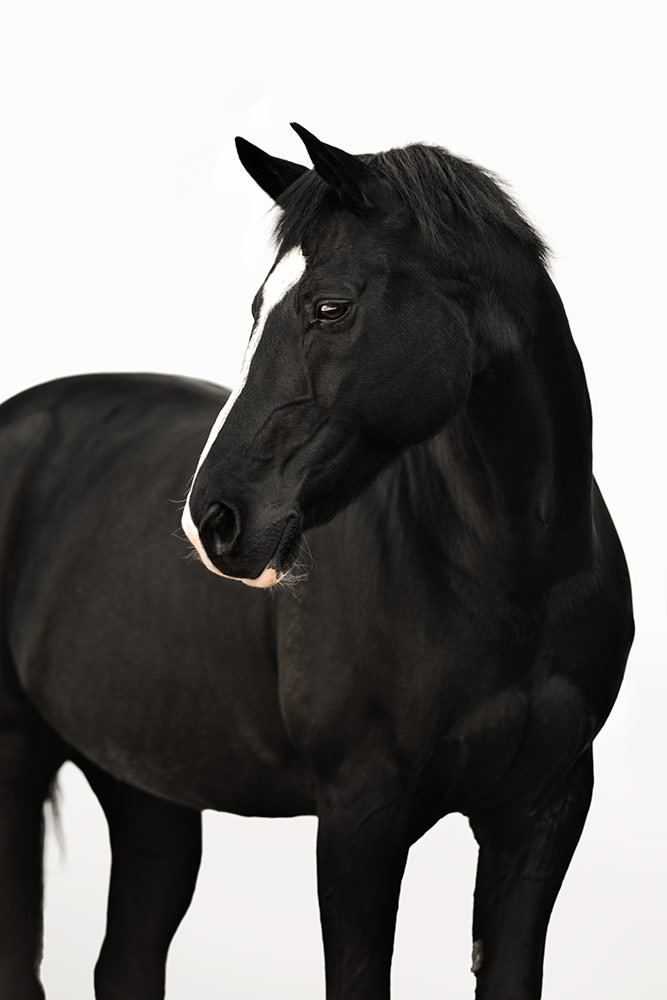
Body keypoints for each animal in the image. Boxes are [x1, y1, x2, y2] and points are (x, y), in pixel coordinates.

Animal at [0, 123, 633, 1000]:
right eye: (257, 306)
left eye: (329, 306)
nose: (213, 520)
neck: (515, 577)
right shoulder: (359, 818)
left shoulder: (542, 813)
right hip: (18, 759)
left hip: (146, 786)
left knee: (125, 959)